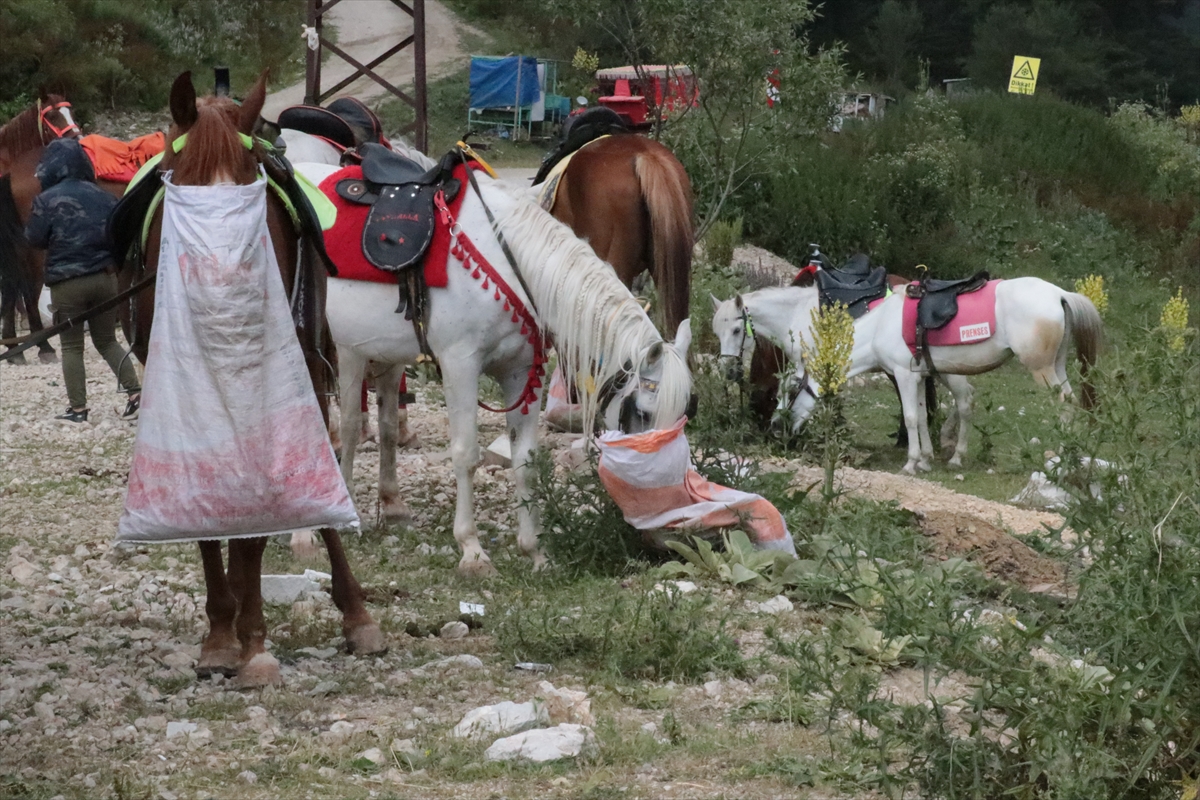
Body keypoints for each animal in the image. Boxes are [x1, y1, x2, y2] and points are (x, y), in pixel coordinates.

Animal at [133, 71, 384, 686]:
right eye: (182, 191)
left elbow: (258, 524)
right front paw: (221, 636)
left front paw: (251, 642)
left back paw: (357, 616)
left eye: (252, 200)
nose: (225, 293)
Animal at [710, 277, 1104, 474]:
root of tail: (1059, 293)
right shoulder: (917, 374)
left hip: (1039, 369)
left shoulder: (903, 373)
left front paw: (912, 463)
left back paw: (1063, 458)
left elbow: (913, 416)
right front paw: (925, 458)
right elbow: (921, 415)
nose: (778, 430)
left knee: (1064, 404)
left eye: (735, 330)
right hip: (1054, 365)